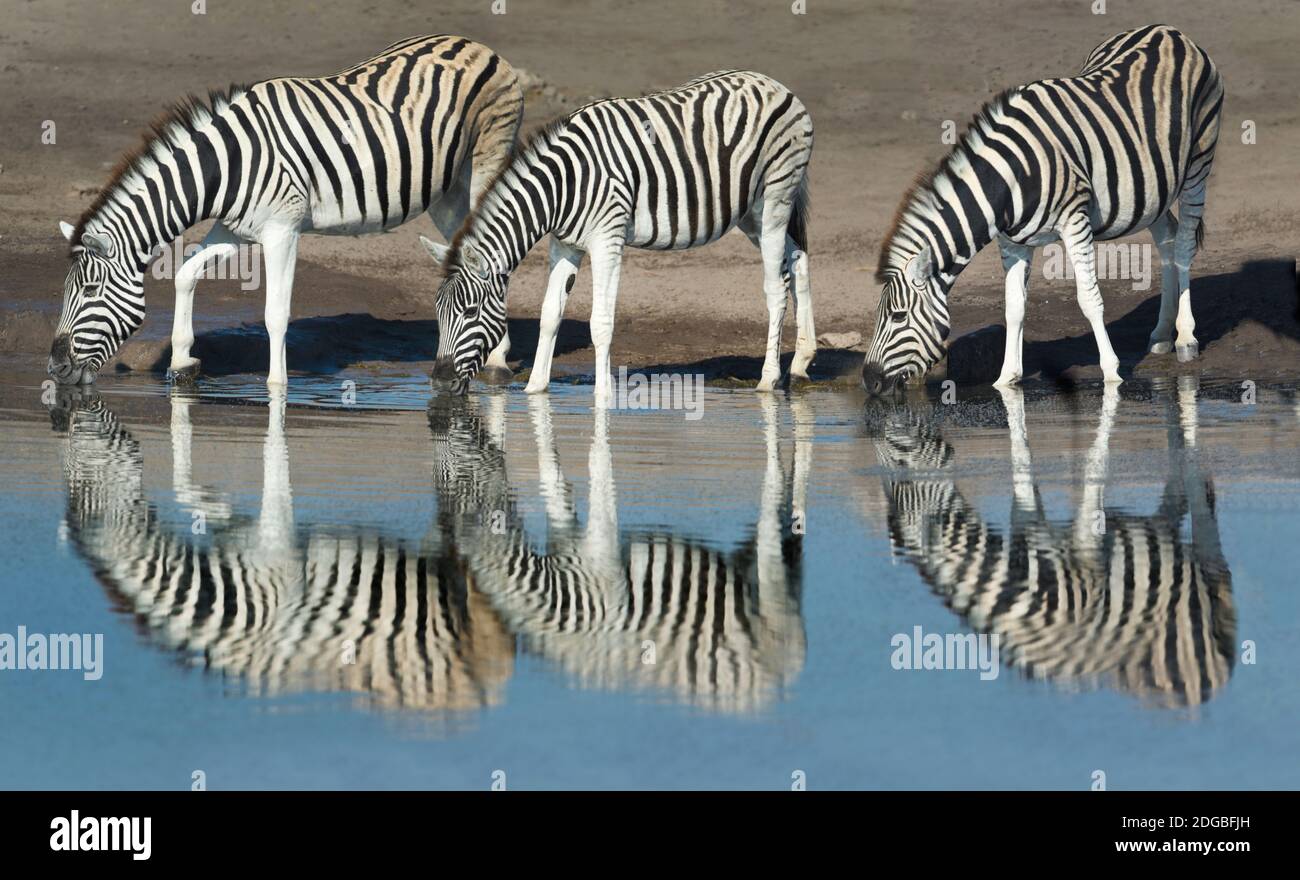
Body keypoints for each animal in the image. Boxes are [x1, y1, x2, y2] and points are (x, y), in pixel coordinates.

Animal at [47, 35, 522, 384]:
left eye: (89, 291)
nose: (54, 367)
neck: (228, 165)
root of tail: (478, 44)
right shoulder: (235, 229)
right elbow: (185, 273)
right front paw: (182, 361)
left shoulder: (282, 231)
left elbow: (275, 314)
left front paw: (277, 389)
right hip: (446, 191)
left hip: (485, 164)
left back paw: (499, 362)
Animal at [421, 70, 811, 402]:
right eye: (437, 310)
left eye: (470, 311)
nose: (439, 382)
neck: (563, 185)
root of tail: (775, 83)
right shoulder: (565, 244)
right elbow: (550, 314)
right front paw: (535, 391)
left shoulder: (607, 240)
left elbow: (601, 321)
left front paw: (604, 396)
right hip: (750, 213)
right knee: (798, 260)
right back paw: (801, 364)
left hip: (774, 200)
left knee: (776, 287)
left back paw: (768, 380)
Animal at [431, 395, 806, 712]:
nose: (442, 409)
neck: (557, 593)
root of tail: (775, 687)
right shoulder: (566, 538)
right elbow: (555, 484)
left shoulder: (604, 557)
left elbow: (598, 468)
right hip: (744, 566)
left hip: (771, 592)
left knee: (773, 511)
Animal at [863, 24, 1216, 395]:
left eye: (898, 316)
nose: (869, 381)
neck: (1009, 180)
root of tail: (1166, 30)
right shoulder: (1012, 242)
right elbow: (1014, 308)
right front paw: (1007, 379)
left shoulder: (1075, 222)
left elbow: (1089, 299)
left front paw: (1111, 373)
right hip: (1152, 189)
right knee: (1167, 240)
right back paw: (1162, 334)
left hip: (1198, 163)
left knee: (1183, 245)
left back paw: (1186, 338)